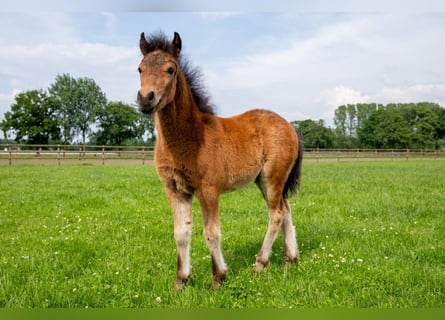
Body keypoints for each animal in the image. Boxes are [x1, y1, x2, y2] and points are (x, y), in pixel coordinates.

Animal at [136, 32, 302, 290]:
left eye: (171, 69)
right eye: (140, 69)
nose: (145, 98)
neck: (190, 136)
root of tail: (290, 127)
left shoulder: (208, 190)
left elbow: (211, 233)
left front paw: (218, 276)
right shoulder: (175, 190)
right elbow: (181, 233)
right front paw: (181, 281)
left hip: (272, 177)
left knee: (276, 213)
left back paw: (260, 263)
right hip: (265, 181)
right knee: (285, 209)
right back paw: (290, 259)